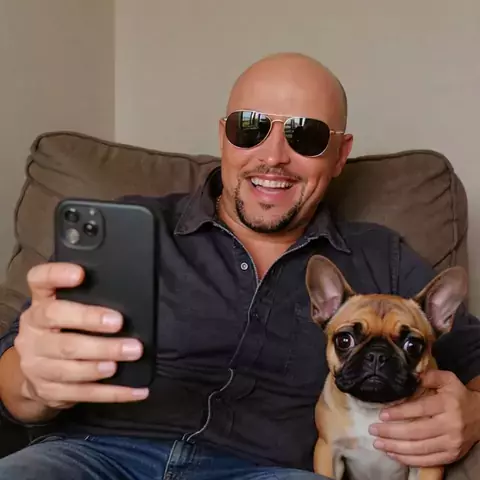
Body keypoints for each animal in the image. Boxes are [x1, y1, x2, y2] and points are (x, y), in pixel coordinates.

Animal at [305, 255, 468, 480]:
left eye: (413, 345)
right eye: (344, 340)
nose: (377, 355)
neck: (372, 407)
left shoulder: (427, 463)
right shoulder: (327, 451)